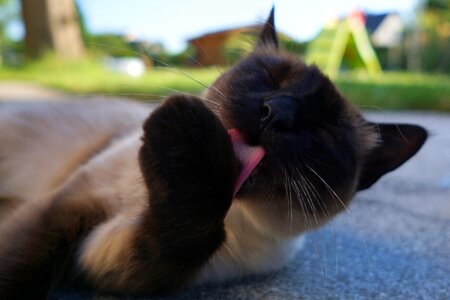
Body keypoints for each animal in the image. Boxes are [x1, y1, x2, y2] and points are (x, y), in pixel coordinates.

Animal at [0, 8, 426, 298]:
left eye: (325, 127)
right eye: (270, 79)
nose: (278, 113)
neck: (234, 209)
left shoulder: (113, 259)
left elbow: (187, 233)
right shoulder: (70, 204)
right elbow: (23, 264)